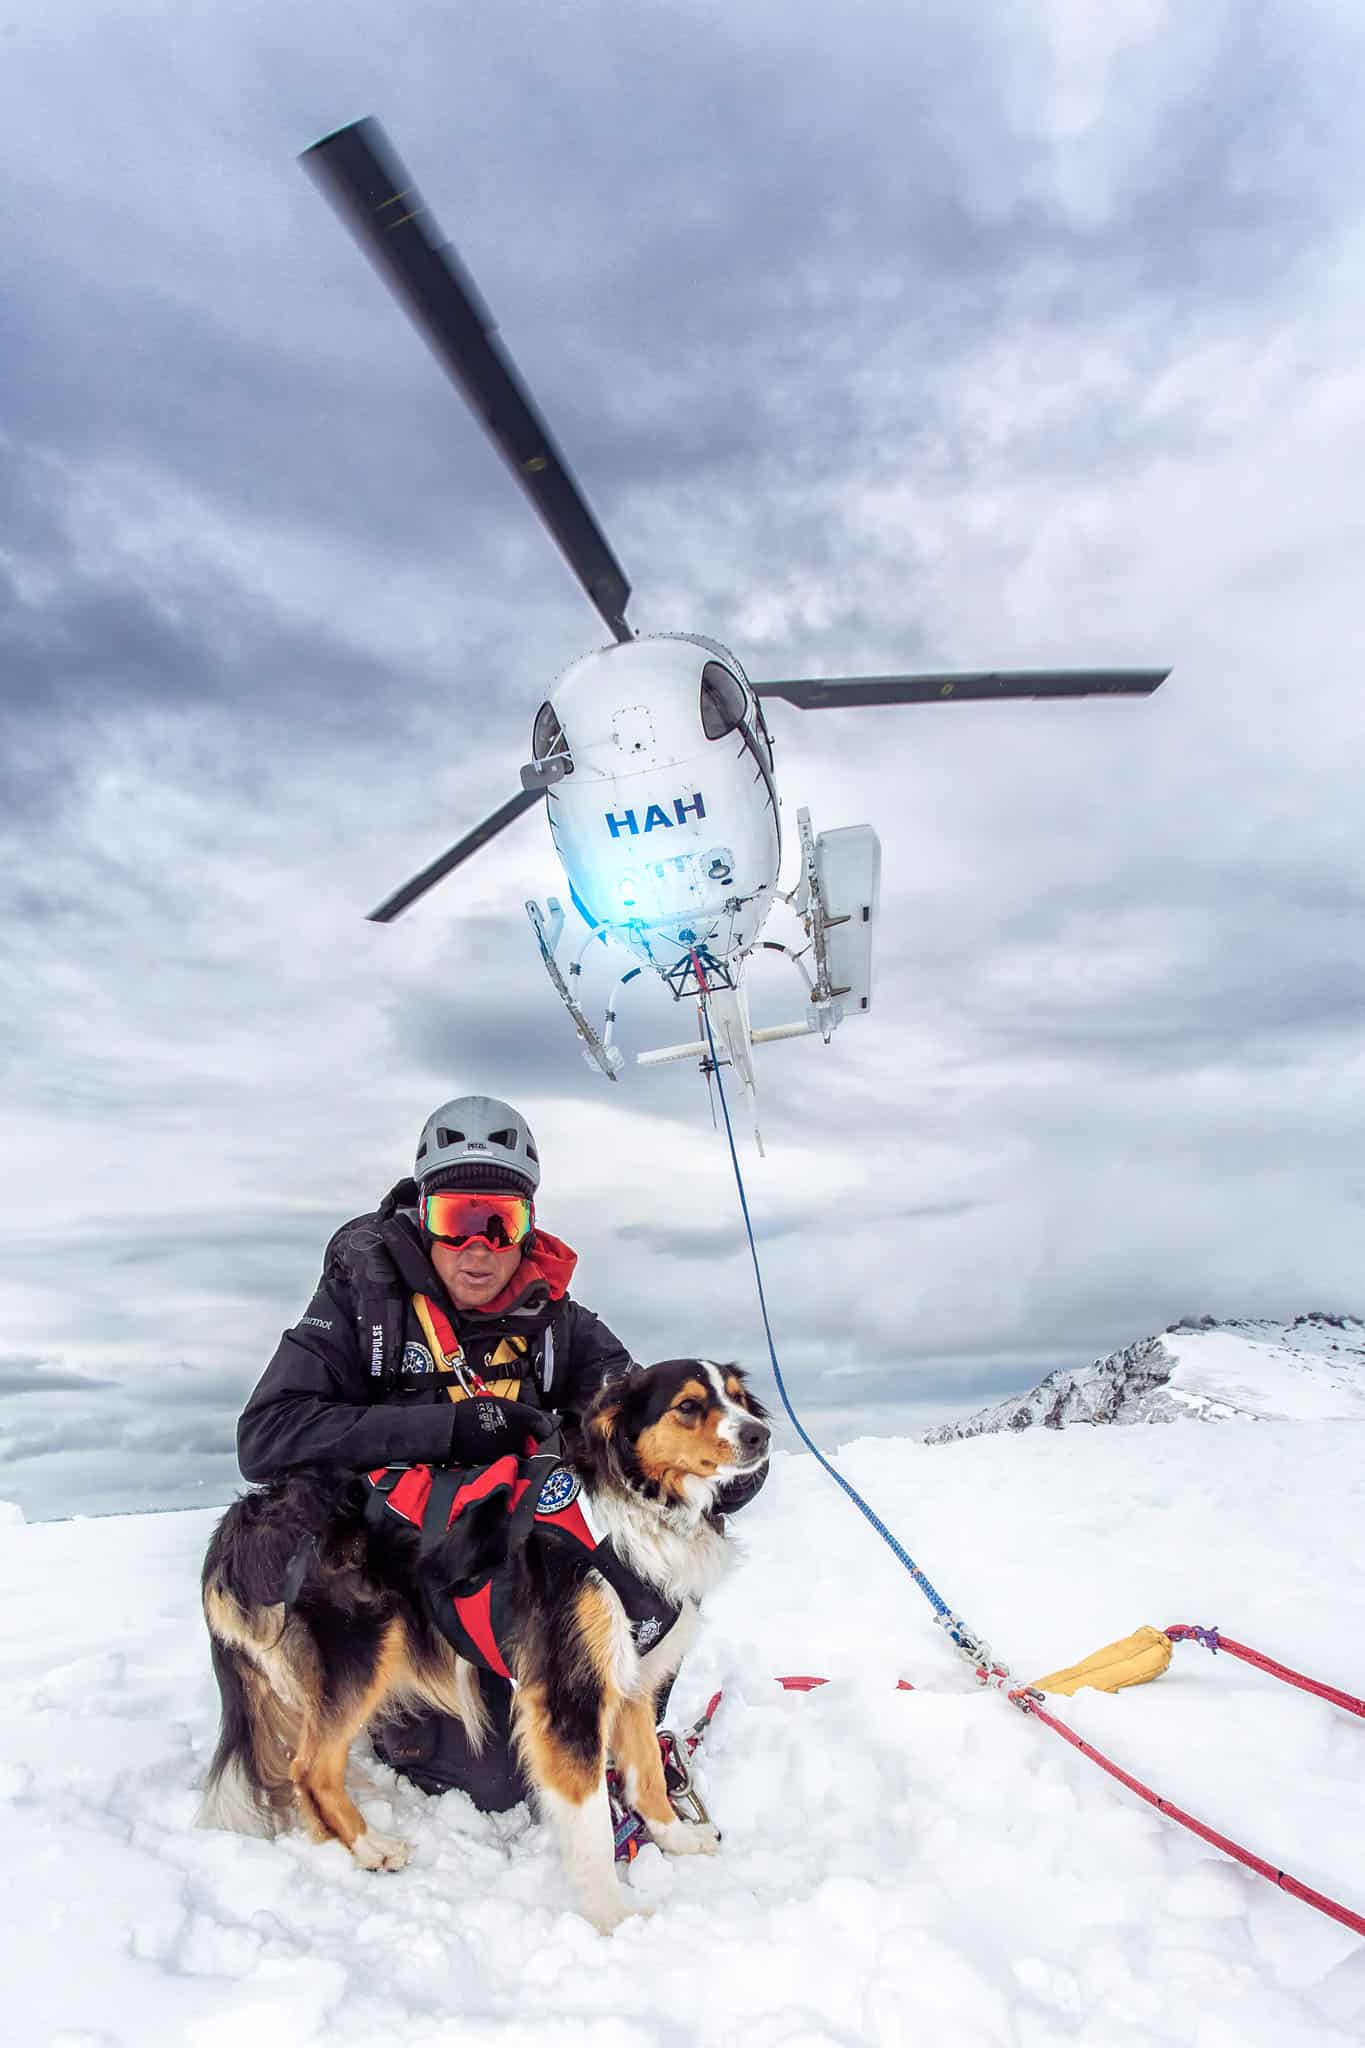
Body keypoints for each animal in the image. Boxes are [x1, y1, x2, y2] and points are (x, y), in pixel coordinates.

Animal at [197, 1368, 769, 1925]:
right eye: (688, 1406)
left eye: (738, 1399)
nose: (759, 1434)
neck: (634, 1514)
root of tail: (242, 1521)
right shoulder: (568, 1691)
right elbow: (591, 1827)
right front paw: (613, 1918)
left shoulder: (631, 1677)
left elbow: (647, 1774)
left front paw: (678, 1838)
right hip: (360, 1653)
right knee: (308, 1769)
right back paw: (370, 1847)